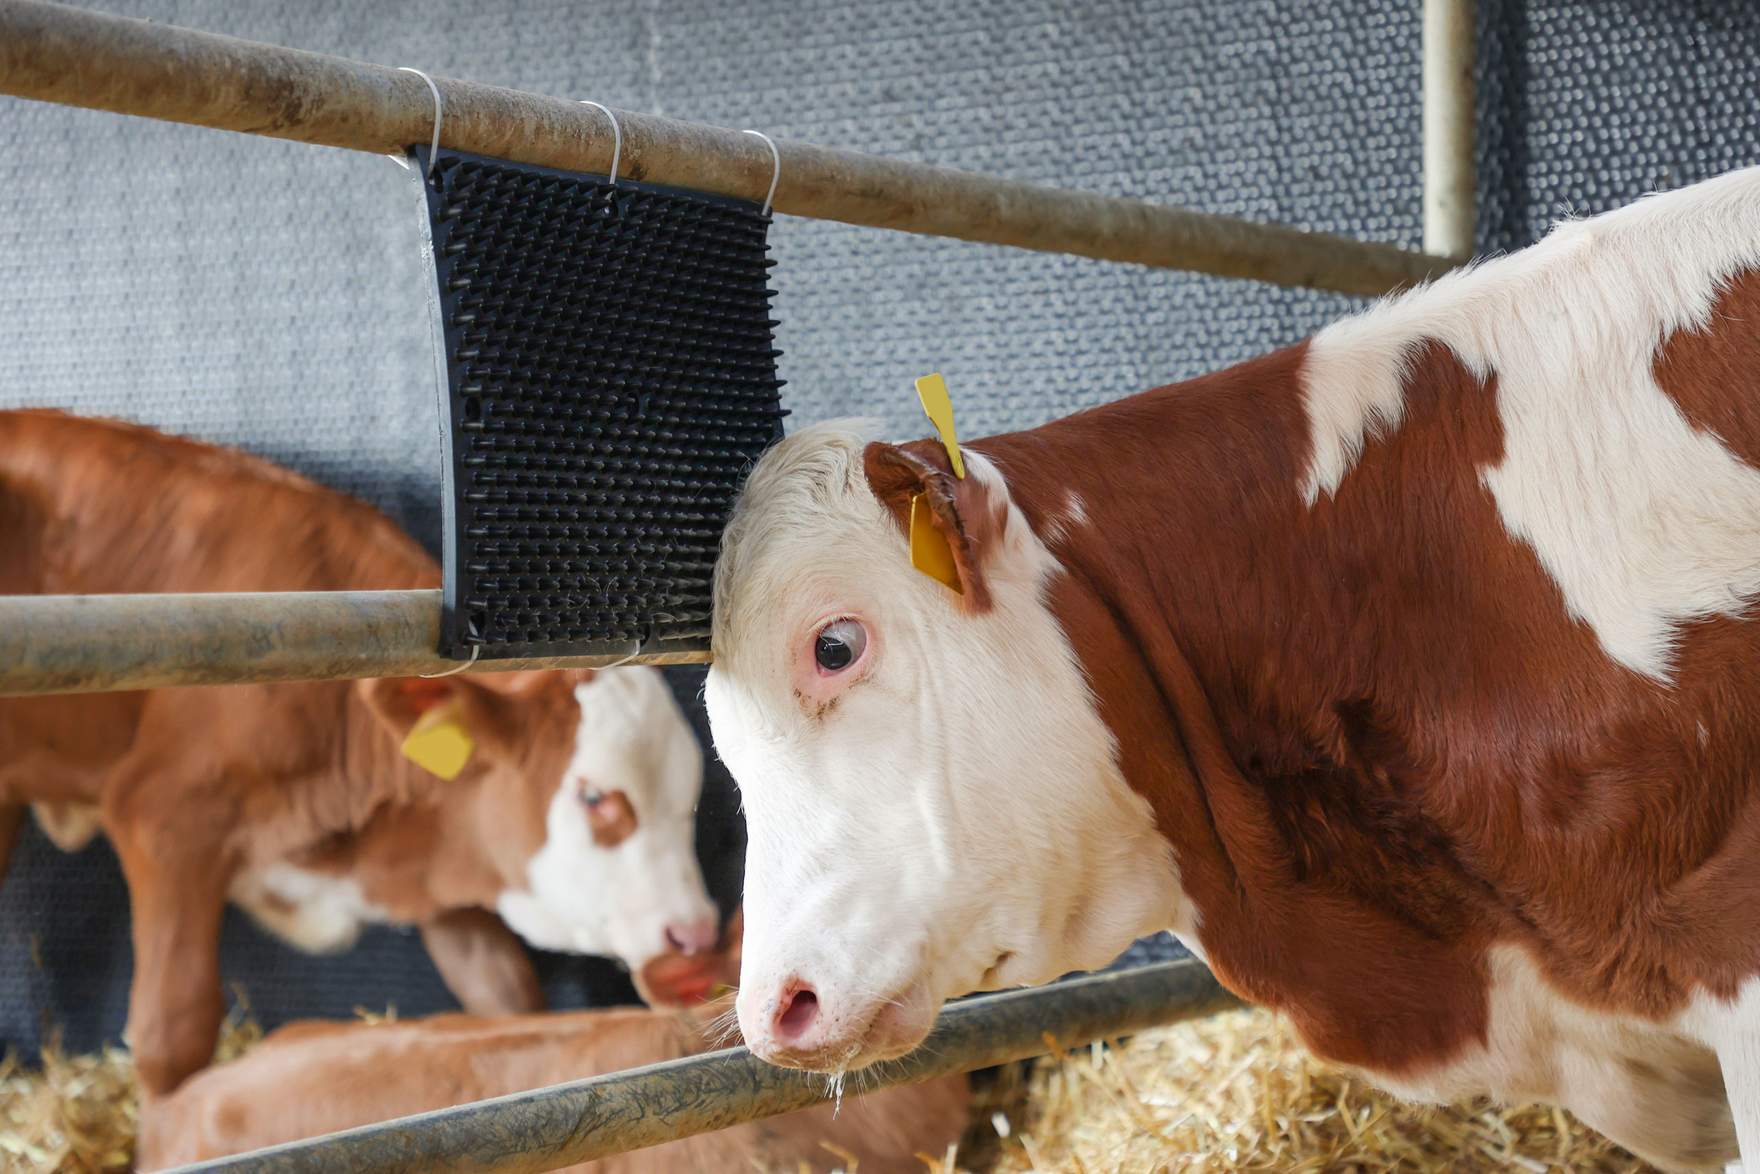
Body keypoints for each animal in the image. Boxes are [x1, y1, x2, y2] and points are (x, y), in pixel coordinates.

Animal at [0, 411, 719, 1096]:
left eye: (692, 799)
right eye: (596, 796)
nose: (698, 937)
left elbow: (503, 992)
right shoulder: (165, 817)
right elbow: (170, 1033)